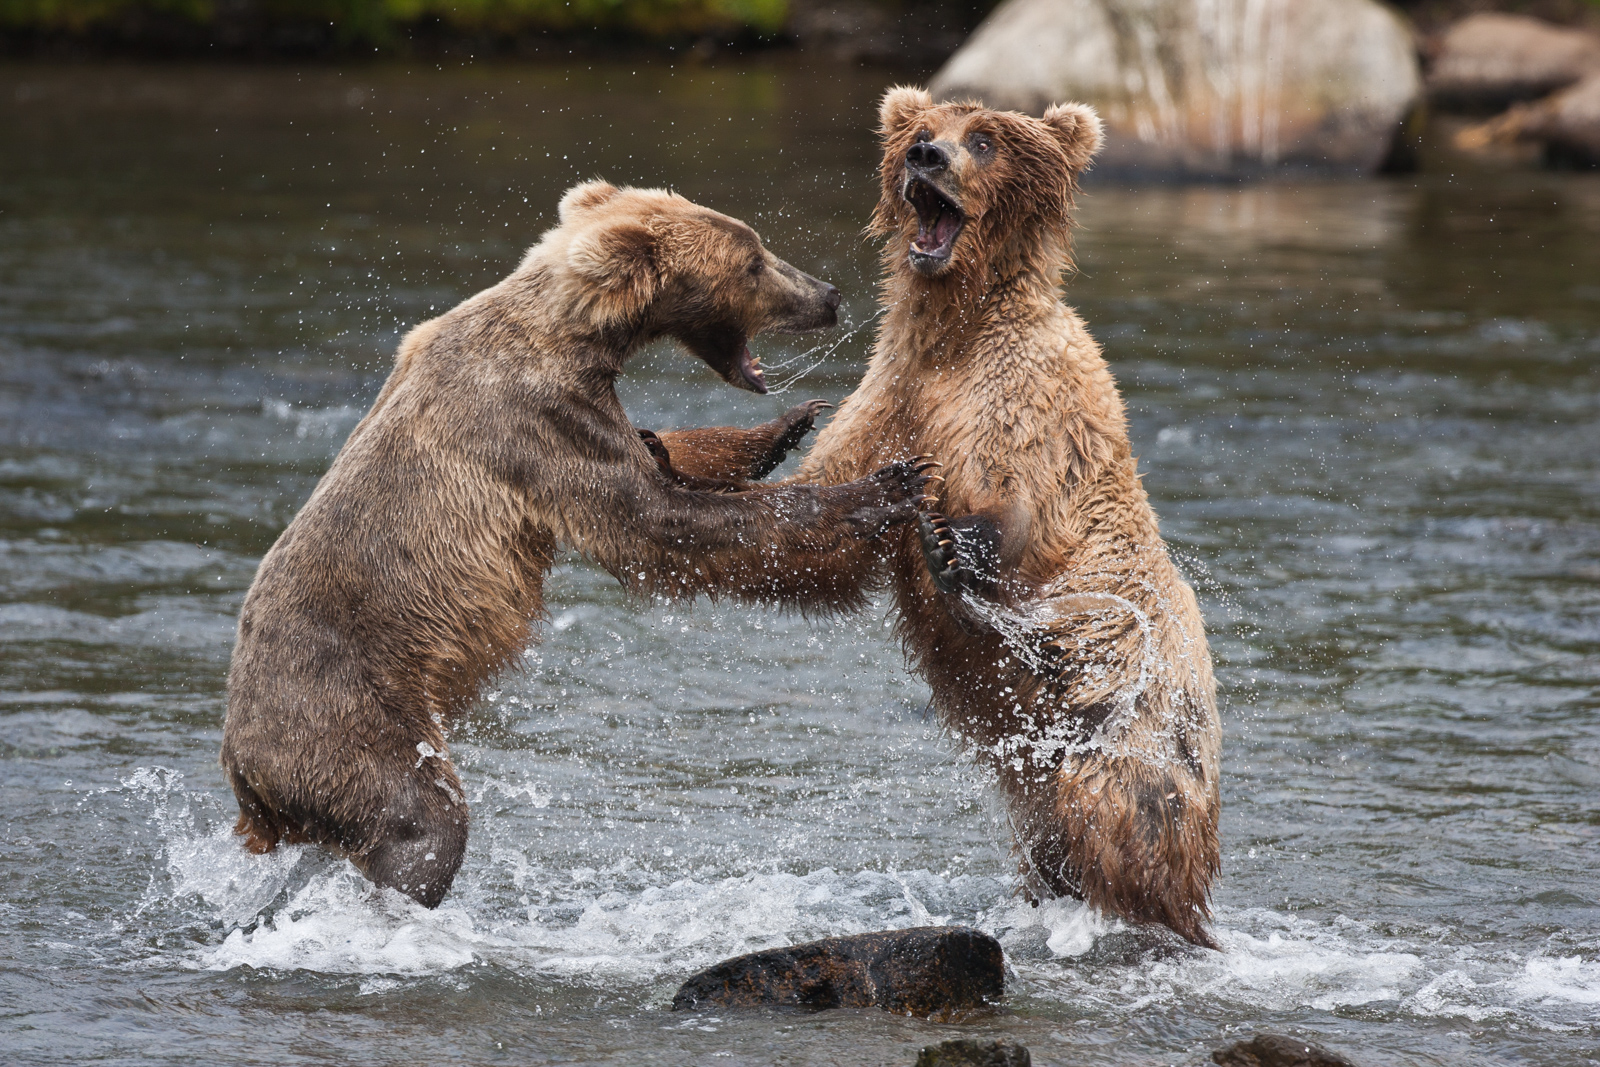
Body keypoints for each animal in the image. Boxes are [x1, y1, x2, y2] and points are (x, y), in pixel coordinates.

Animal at [219, 179, 934, 908]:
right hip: (348, 718)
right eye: (754, 262)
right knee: (420, 821)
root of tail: (246, 779)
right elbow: (661, 521)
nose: (829, 293)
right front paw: (887, 484)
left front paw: (784, 426)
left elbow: (660, 456)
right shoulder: (542, 421)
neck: (576, 336)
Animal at [656, 91, 1216, 940]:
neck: (958, 328)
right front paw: (730, 443)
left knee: (1118, 817)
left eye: (983, 140)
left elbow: (1014, 508)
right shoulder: (893, 392)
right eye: (924, 130)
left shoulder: (1029, 408)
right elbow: (817, 530)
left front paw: (950, 549)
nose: (927, 155)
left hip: (1132, 722)